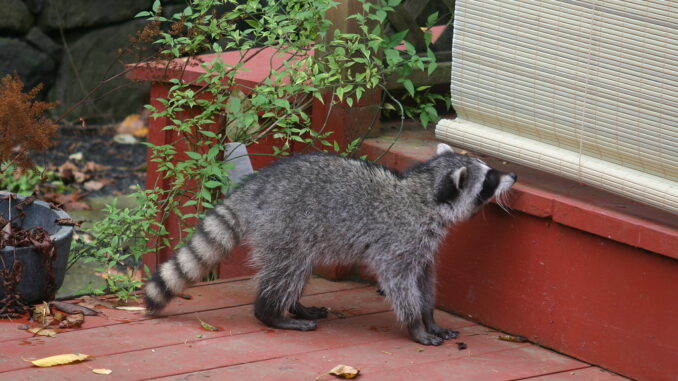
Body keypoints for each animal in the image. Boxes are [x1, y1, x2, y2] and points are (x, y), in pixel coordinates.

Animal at [143, 142, 516, 344]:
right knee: (287, 270)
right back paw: (272, 313)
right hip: (284, 225)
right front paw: (415, 324)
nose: (513, 176)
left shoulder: (423, 246)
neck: (423, 193)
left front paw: (429, 316)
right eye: (490, 178)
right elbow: (398, 282)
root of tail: (256, 186)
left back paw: (295, 305)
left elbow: (424, 281)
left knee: (296, 270)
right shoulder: (400, 239)